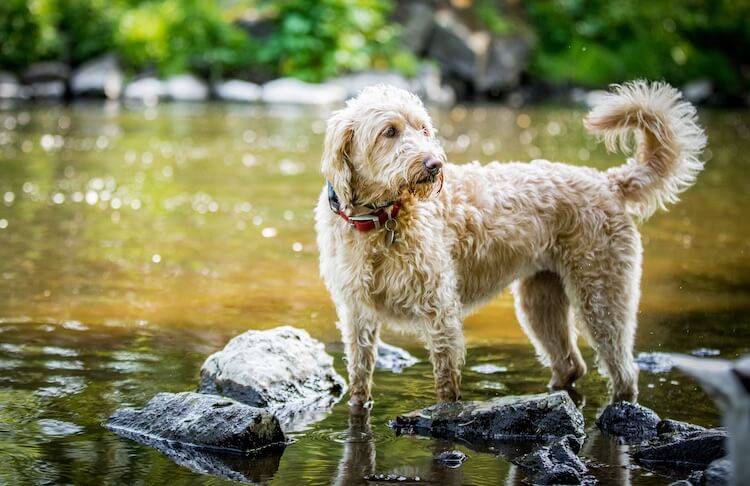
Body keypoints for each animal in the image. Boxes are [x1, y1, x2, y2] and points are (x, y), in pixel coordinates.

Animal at [314, 81, 708, 404]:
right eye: (389, 131)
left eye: (423, 128)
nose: (434, 164)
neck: (380, 220)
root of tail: (608, 182)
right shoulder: (357, 314)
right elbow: (360, 378)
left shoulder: (440, 312)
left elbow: (446, 384)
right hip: (541, 301)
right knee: (571, 365)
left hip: (601, 297)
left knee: (623, 372)